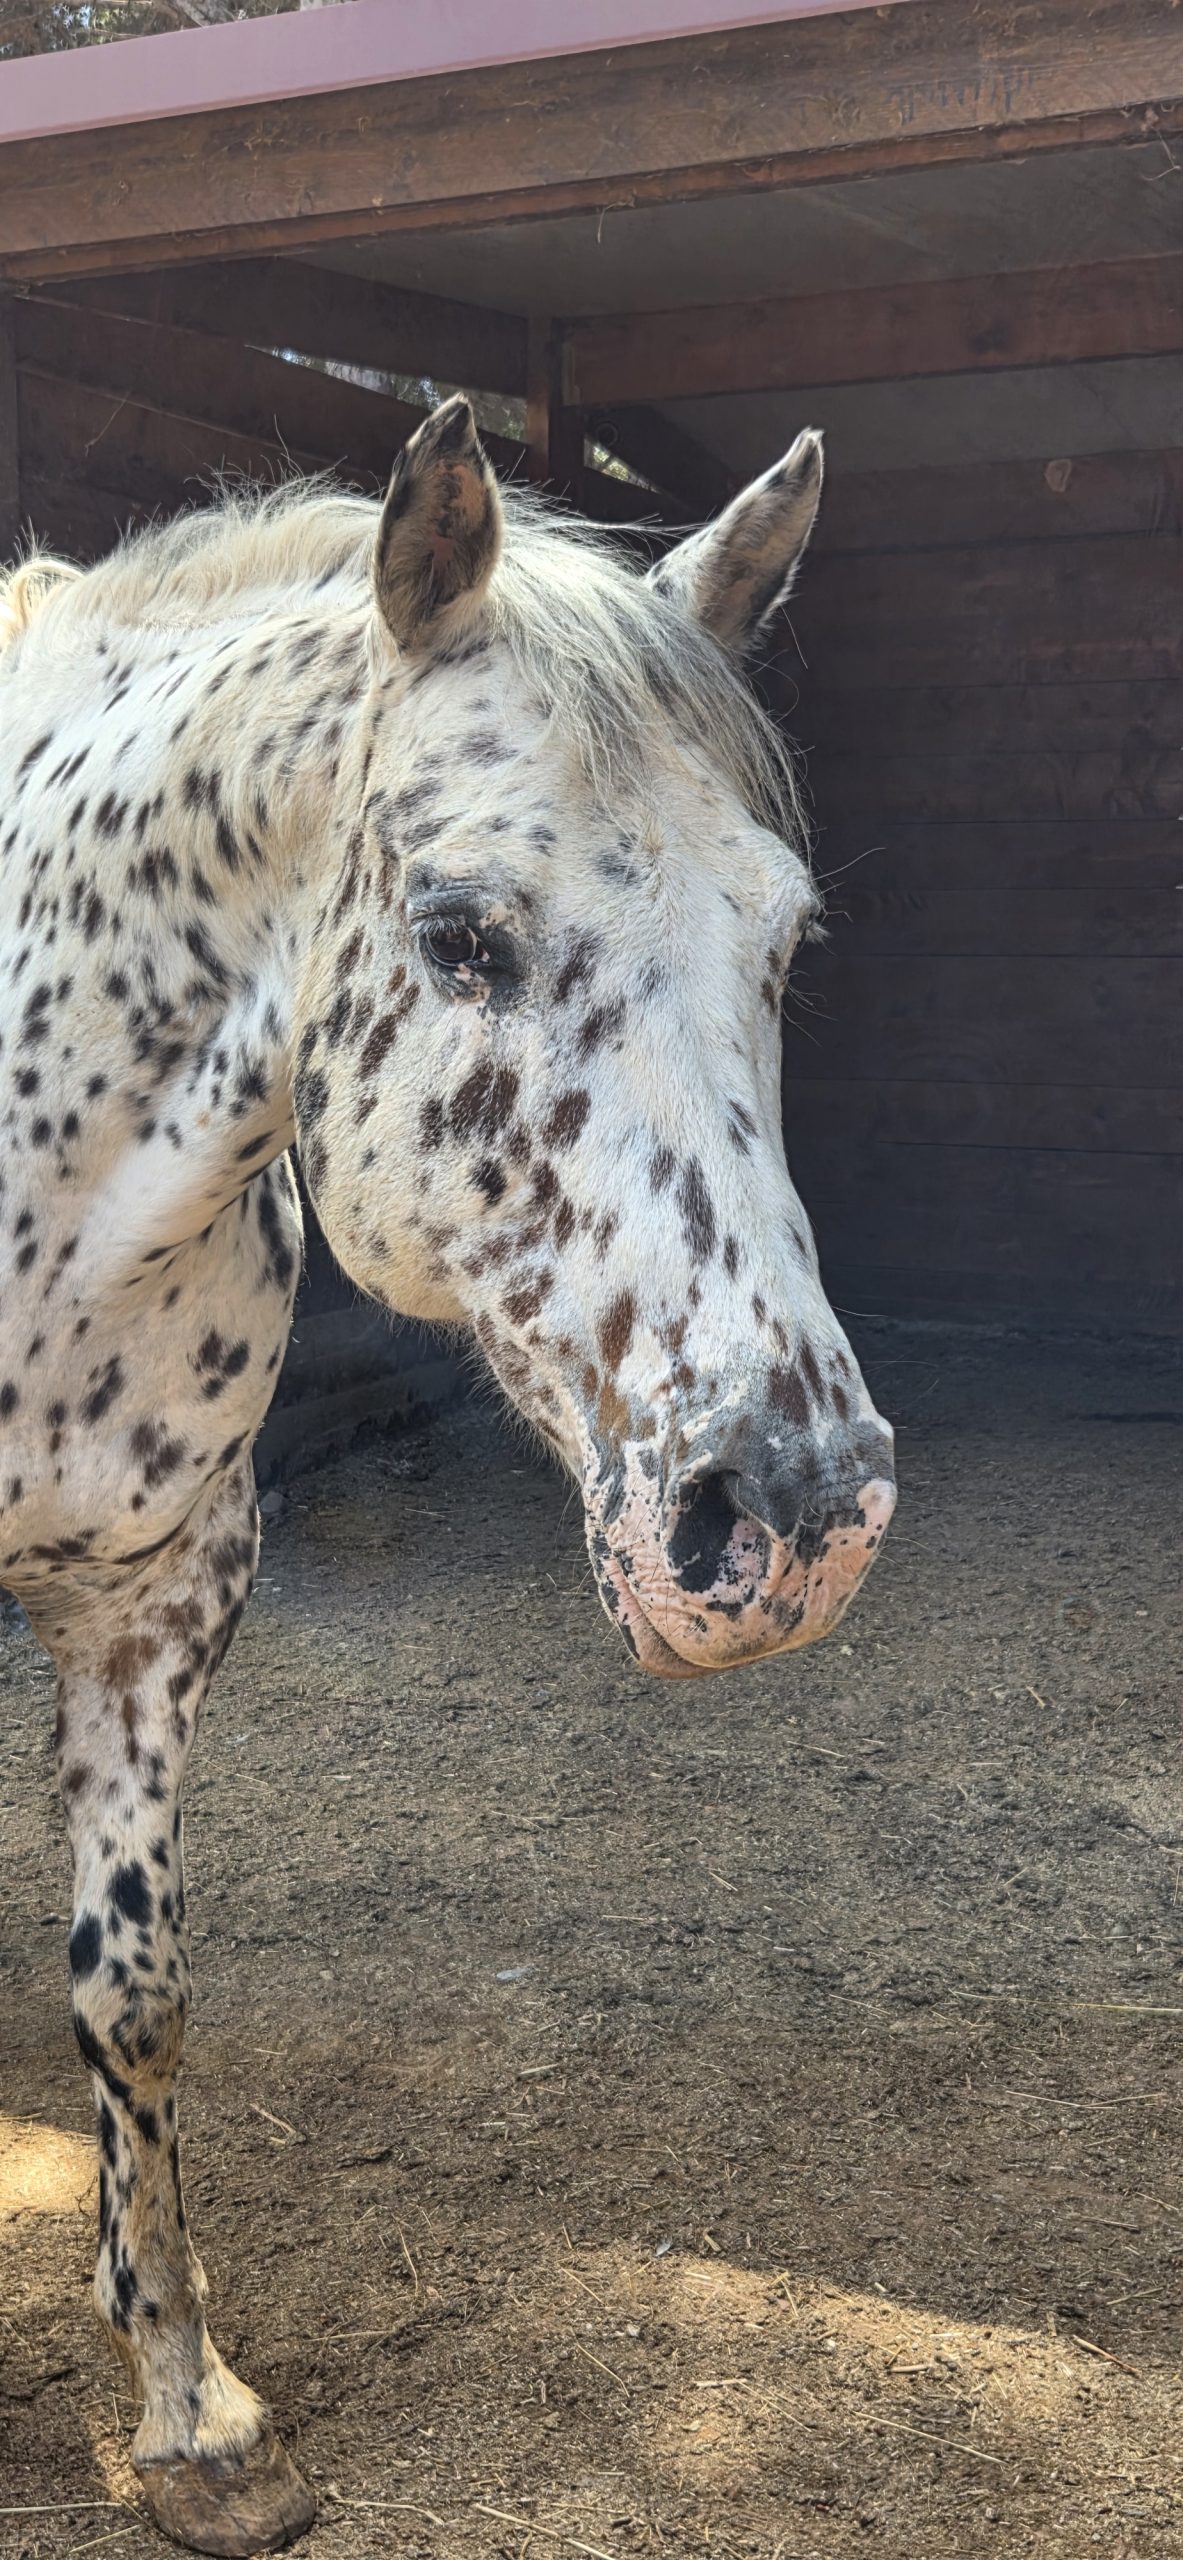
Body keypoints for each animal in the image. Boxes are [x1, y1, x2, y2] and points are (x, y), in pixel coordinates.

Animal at [0, 398, 895, 2554]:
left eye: (785, 935)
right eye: (461, 931)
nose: (795, 1516)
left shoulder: (150, 1605)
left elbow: (134, 1990)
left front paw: (190, 2411)